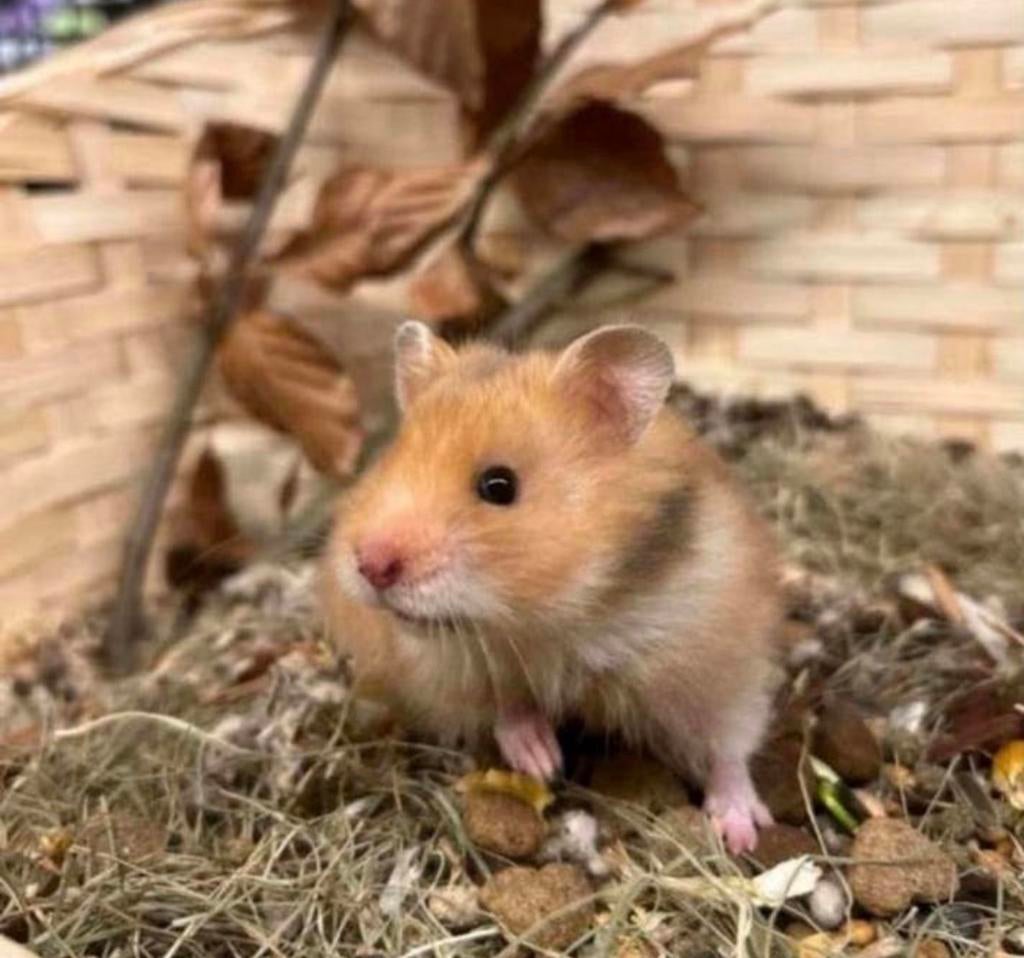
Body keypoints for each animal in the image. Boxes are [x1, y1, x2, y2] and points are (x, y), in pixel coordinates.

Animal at [321, 321, 782, 853]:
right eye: (387, 463)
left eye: (499, 485)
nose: (370, 565)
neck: (554, 620)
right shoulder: (448, 669)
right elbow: (506, 705)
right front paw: (542, 762)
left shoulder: (718, 662)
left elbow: (728, 744)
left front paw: (743, 833)